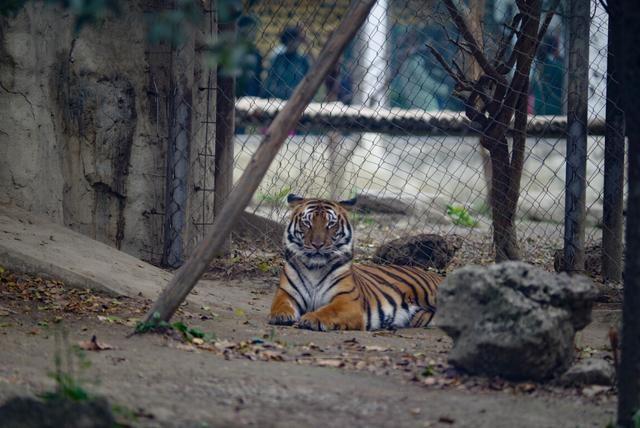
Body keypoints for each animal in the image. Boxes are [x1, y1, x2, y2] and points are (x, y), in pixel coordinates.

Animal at [268, 194, 442, 331]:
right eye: (307, 223)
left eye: (330, 224)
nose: (318, 245)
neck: (314, 268)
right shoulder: (286, 293)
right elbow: (280, 305)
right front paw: (282, 316)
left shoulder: (347, 301)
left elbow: (328, 310)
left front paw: (310, 318)